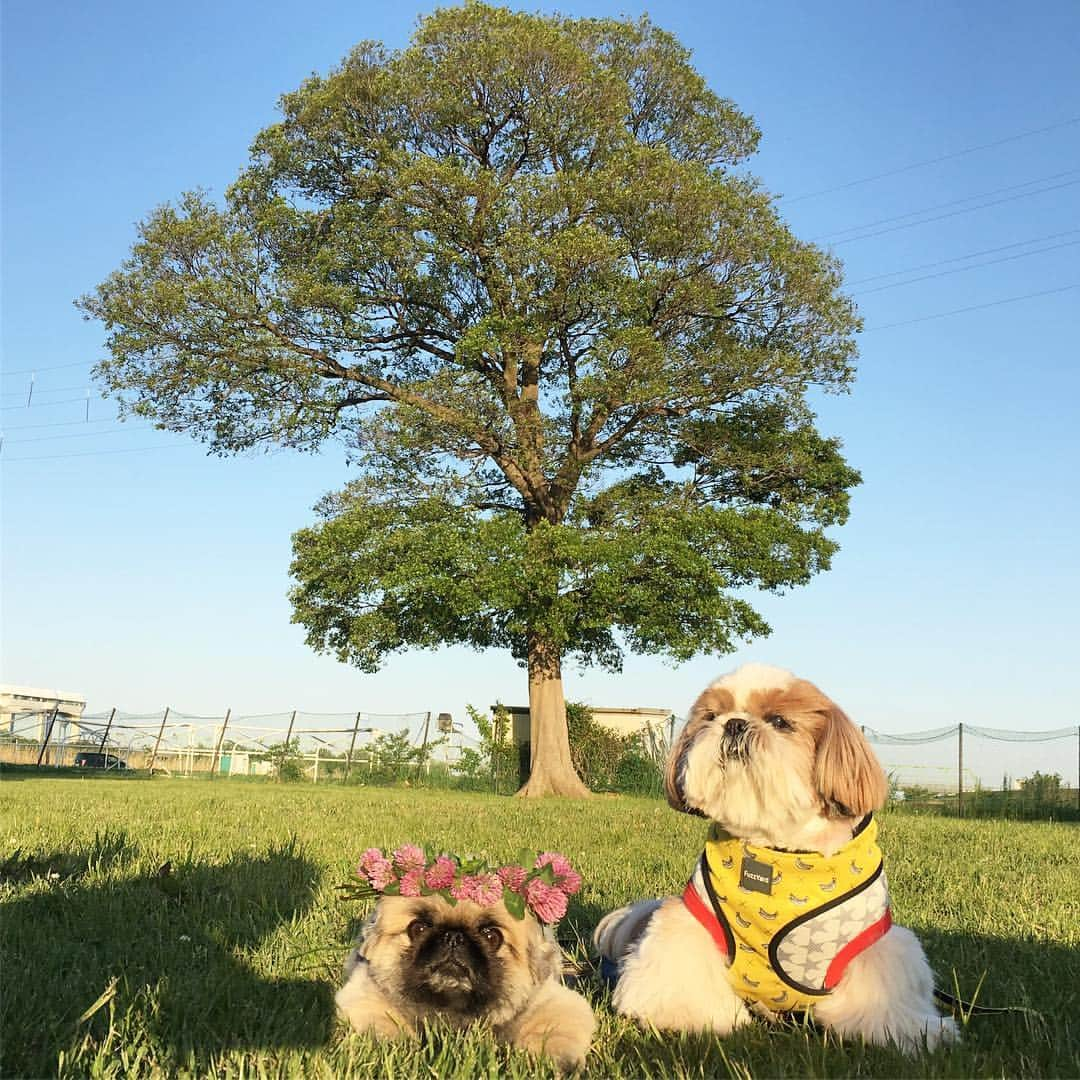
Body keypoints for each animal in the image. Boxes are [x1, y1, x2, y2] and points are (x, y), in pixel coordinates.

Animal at [334, 846, 596, 1067]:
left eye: (492, 936)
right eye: (418, 928)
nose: (453, 937)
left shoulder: (557, 1005)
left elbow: (552, 1036)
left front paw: (552, 1062)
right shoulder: (365, 995)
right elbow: (382, 1025)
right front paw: (392, 1046)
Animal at [596, 660, 959, 1049]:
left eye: (780, 721)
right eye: (711, 716)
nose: (734, 724)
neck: (776, 848)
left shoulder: (875, 947)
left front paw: (911, 1031)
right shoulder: (688, 922)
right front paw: (690, 1018)